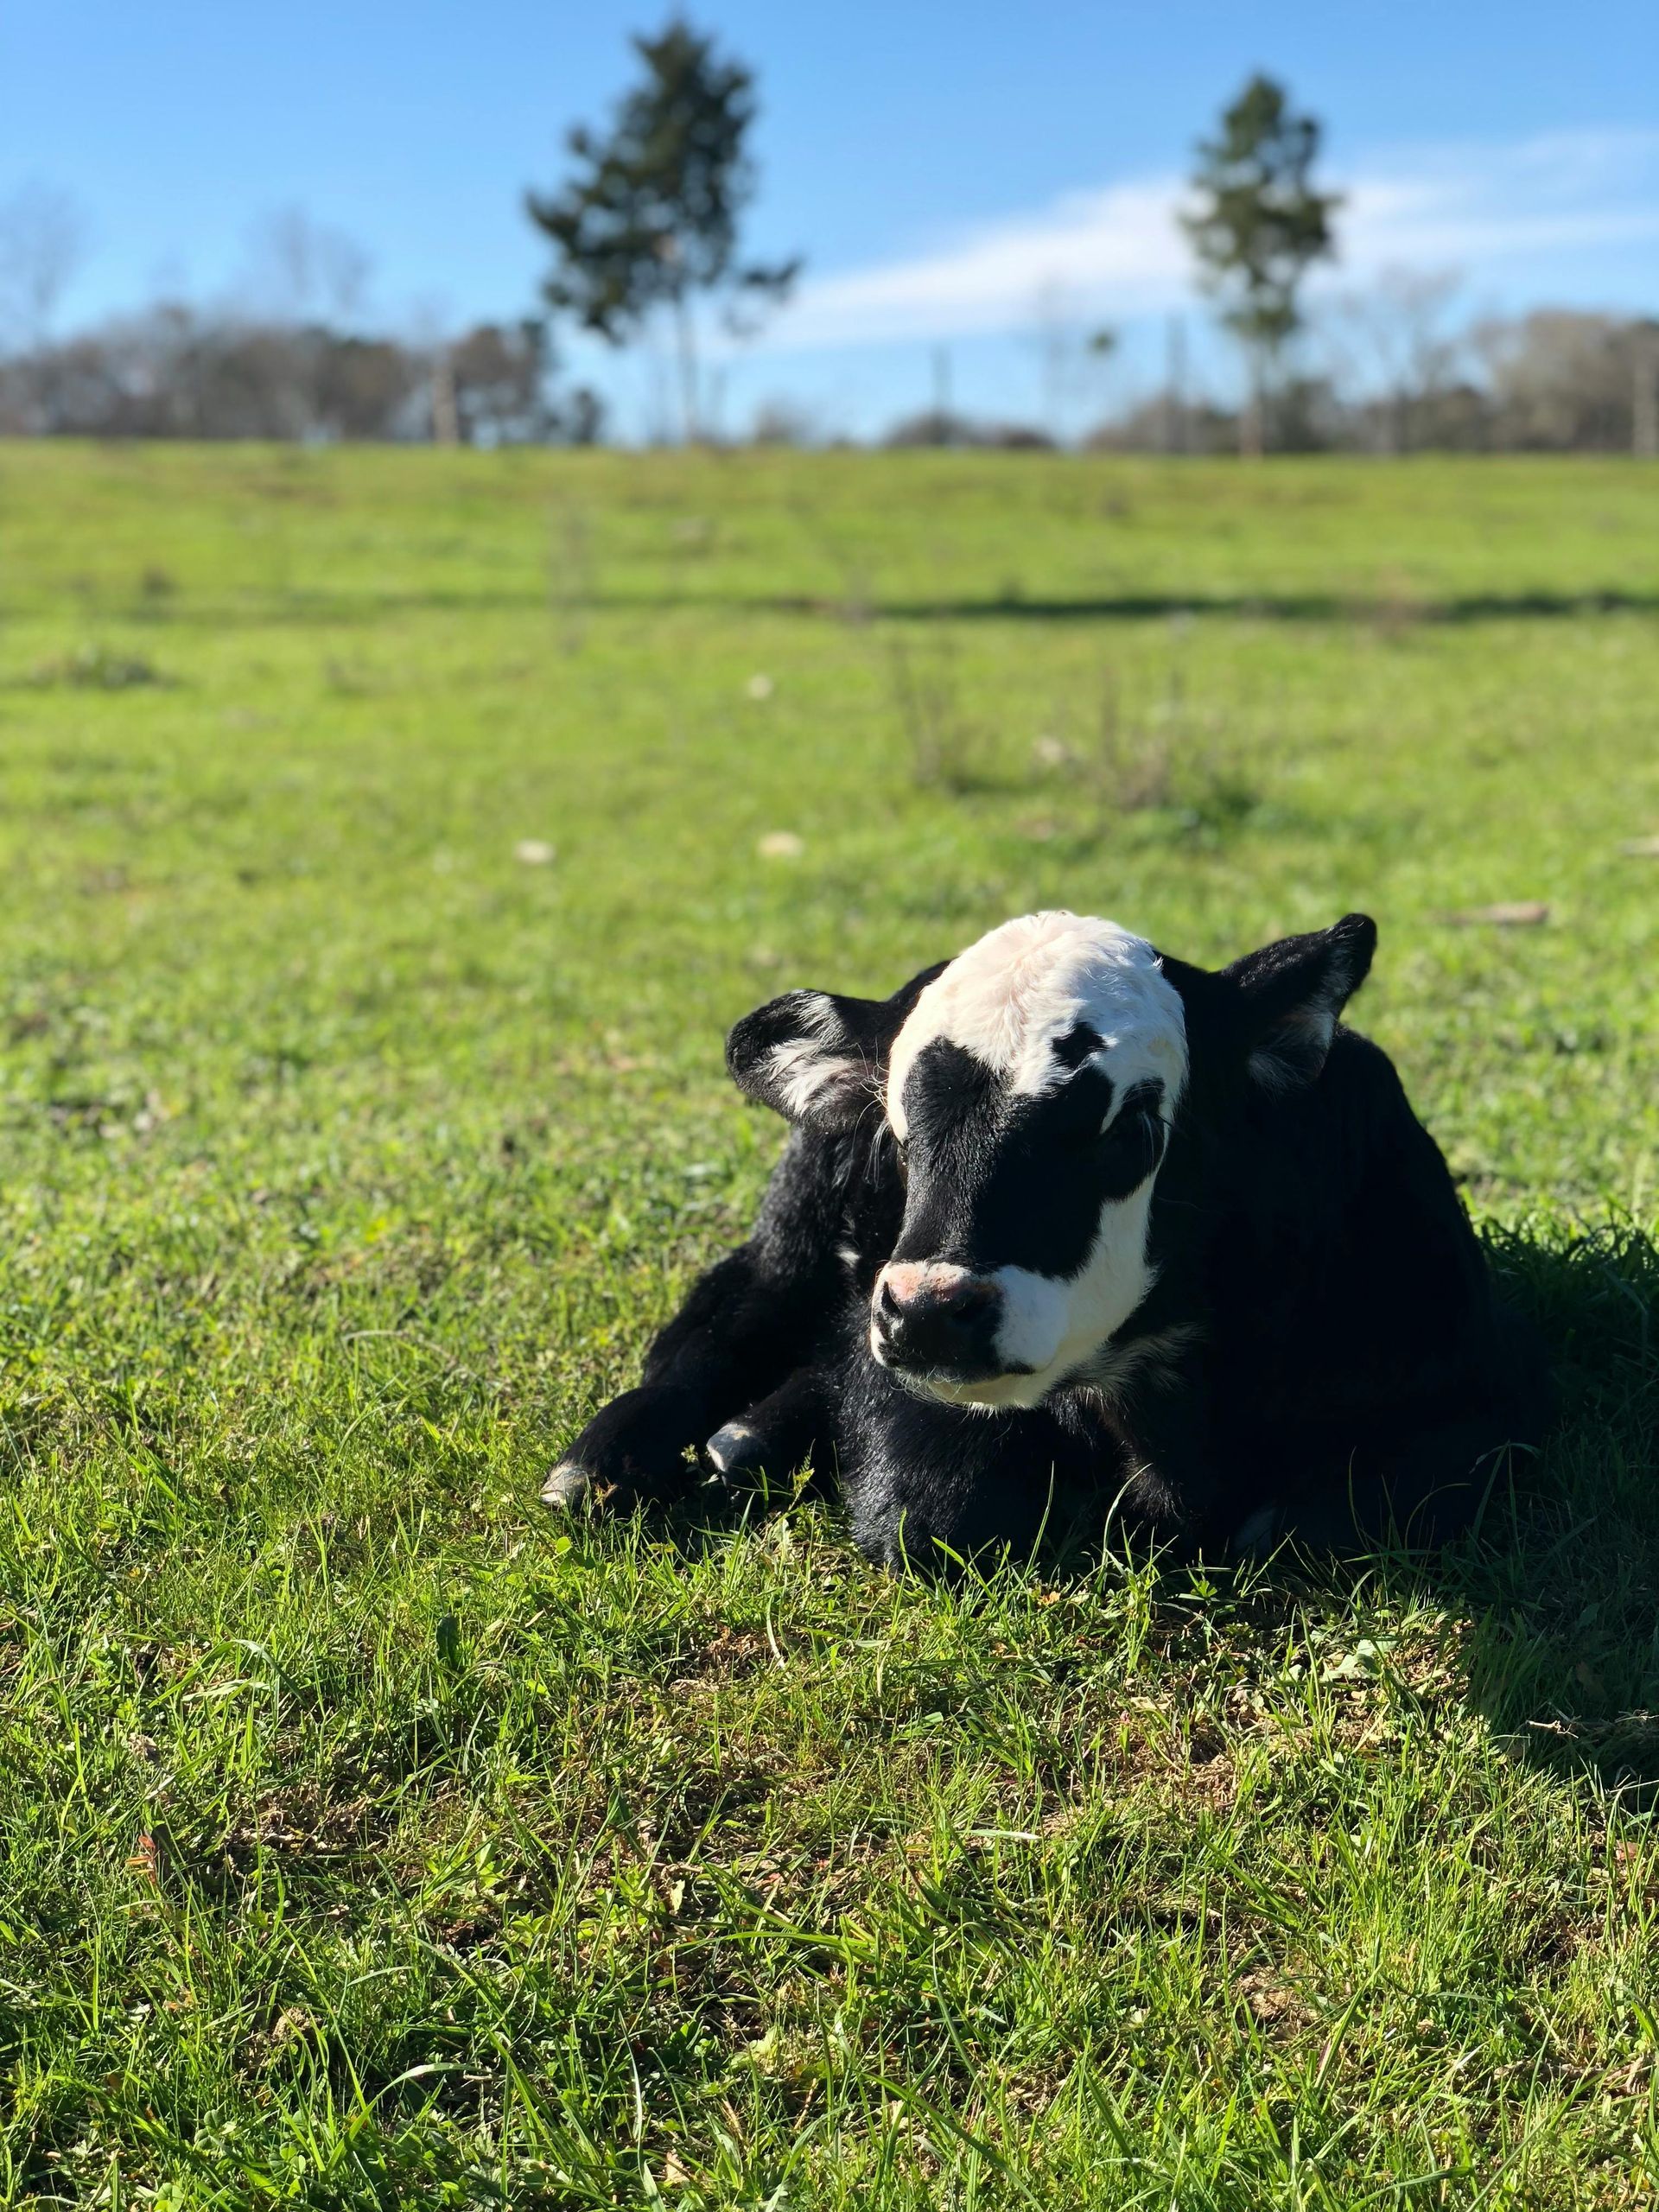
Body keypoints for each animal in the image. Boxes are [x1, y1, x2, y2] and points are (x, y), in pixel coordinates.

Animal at [542, 910, 1550, 1569]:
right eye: (897, 1133)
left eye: (1131, 1127)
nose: (931, 1312)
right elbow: (930, 1511)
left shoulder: (1469, 1409)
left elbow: (1314, 1523)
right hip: (791, 1244)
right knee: (711, 1333)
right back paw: (608, 1466)